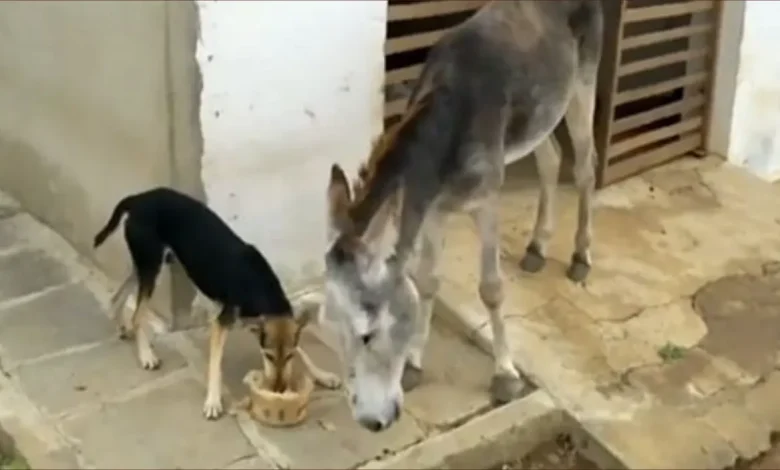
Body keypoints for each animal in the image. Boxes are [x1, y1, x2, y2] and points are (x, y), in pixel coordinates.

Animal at [93, 187, 340, 419]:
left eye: (289, 356)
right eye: (269, 356)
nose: (279, 390)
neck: (259, 287)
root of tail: (139, 197)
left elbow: (304, 352)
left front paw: (322, 375)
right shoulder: (222, 323)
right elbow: (215, 364)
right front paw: (212, 401)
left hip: (149, 264)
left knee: (117, 296)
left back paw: (122, 326)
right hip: (151, 266)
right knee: (137, 314)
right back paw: (146, 355)